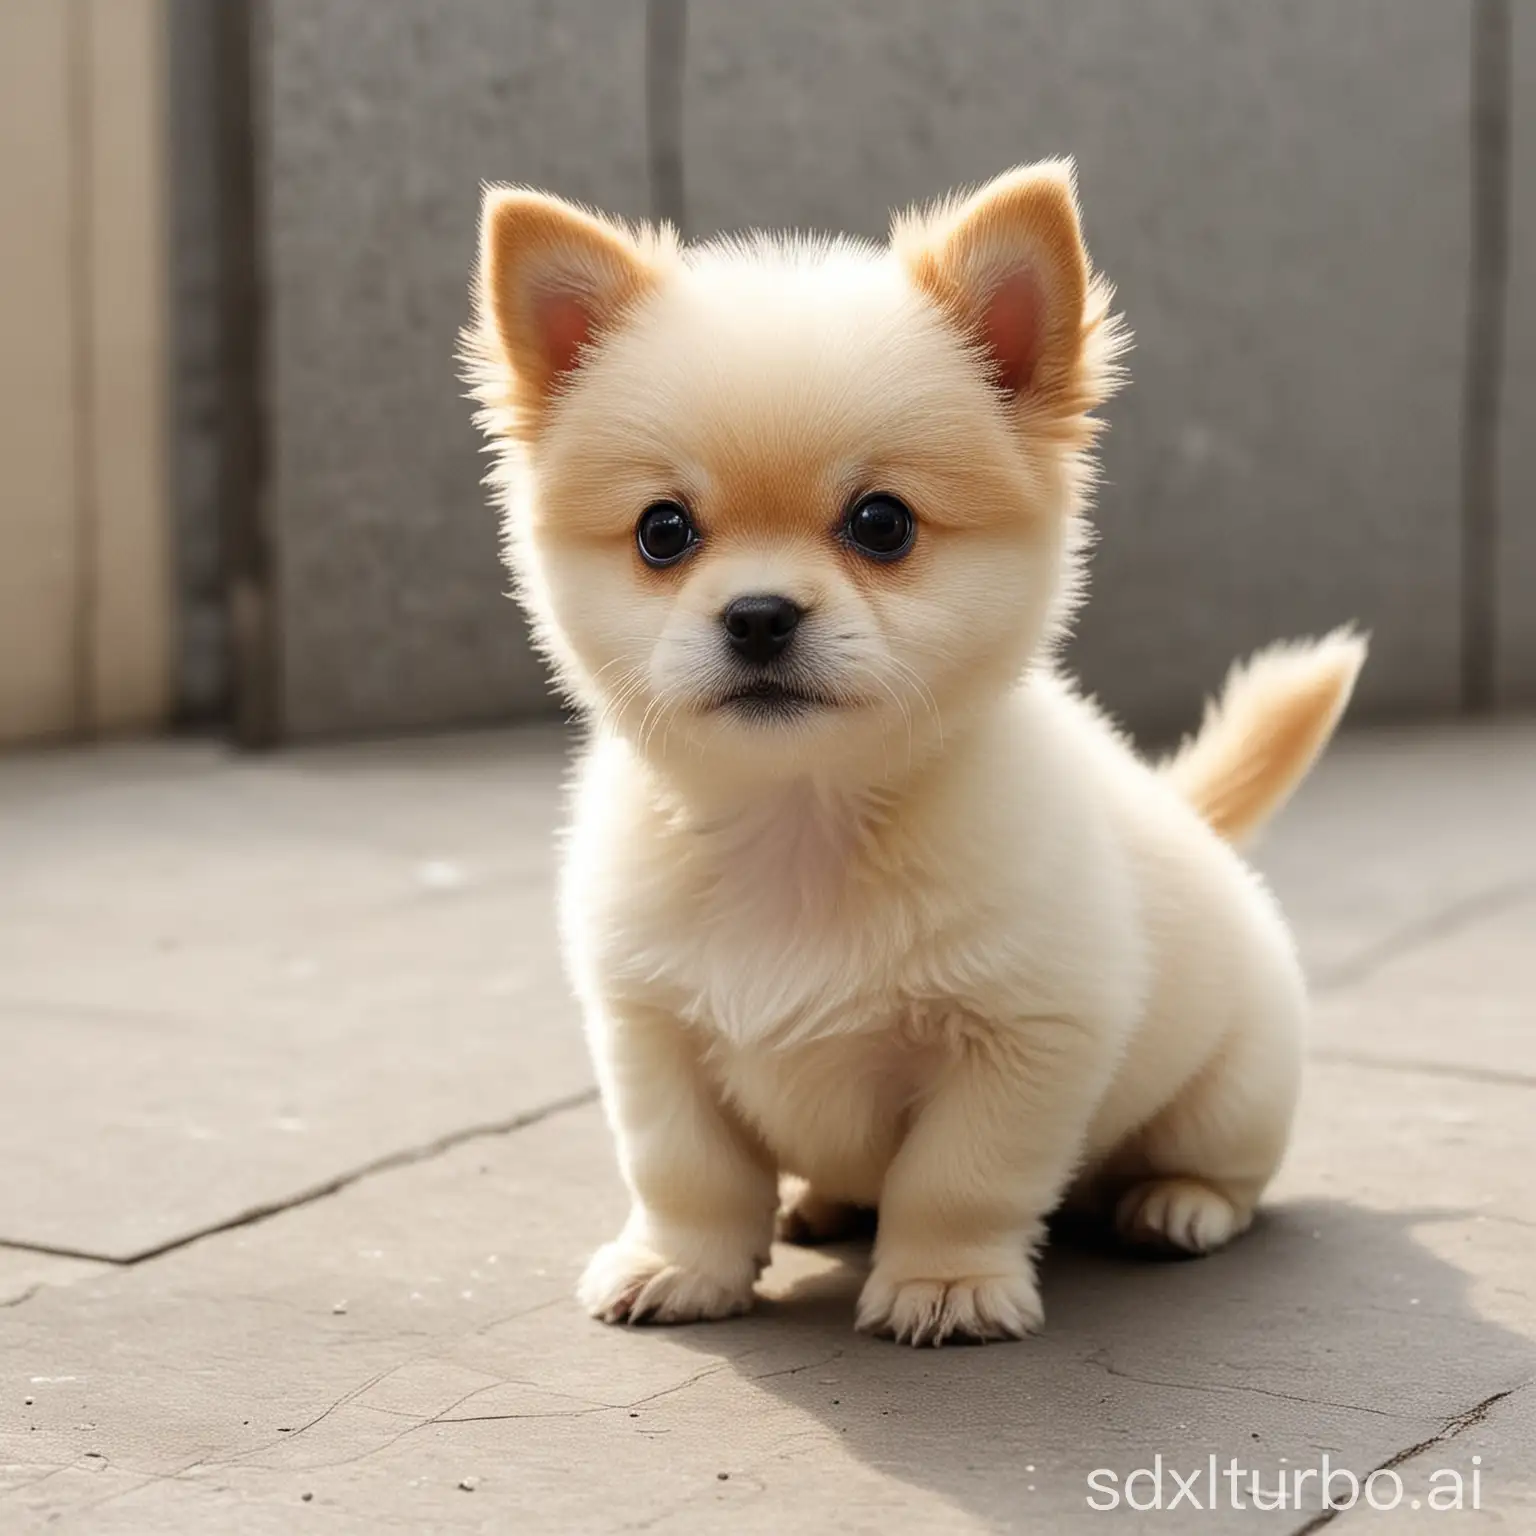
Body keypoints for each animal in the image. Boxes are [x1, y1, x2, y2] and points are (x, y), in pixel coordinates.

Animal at [460, 158, 1363, 1345]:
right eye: (664, 532)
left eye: (881, 523)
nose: (757, 614)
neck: (801, 823)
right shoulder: (651, 1032)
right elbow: (686, 1173)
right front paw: (681, 1266)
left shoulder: (1025, 1039)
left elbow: (958, 1178)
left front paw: (944, 1285)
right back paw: (819, 1202)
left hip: (1237, 1087)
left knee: (1226, 1169)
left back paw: (1176, 1205)